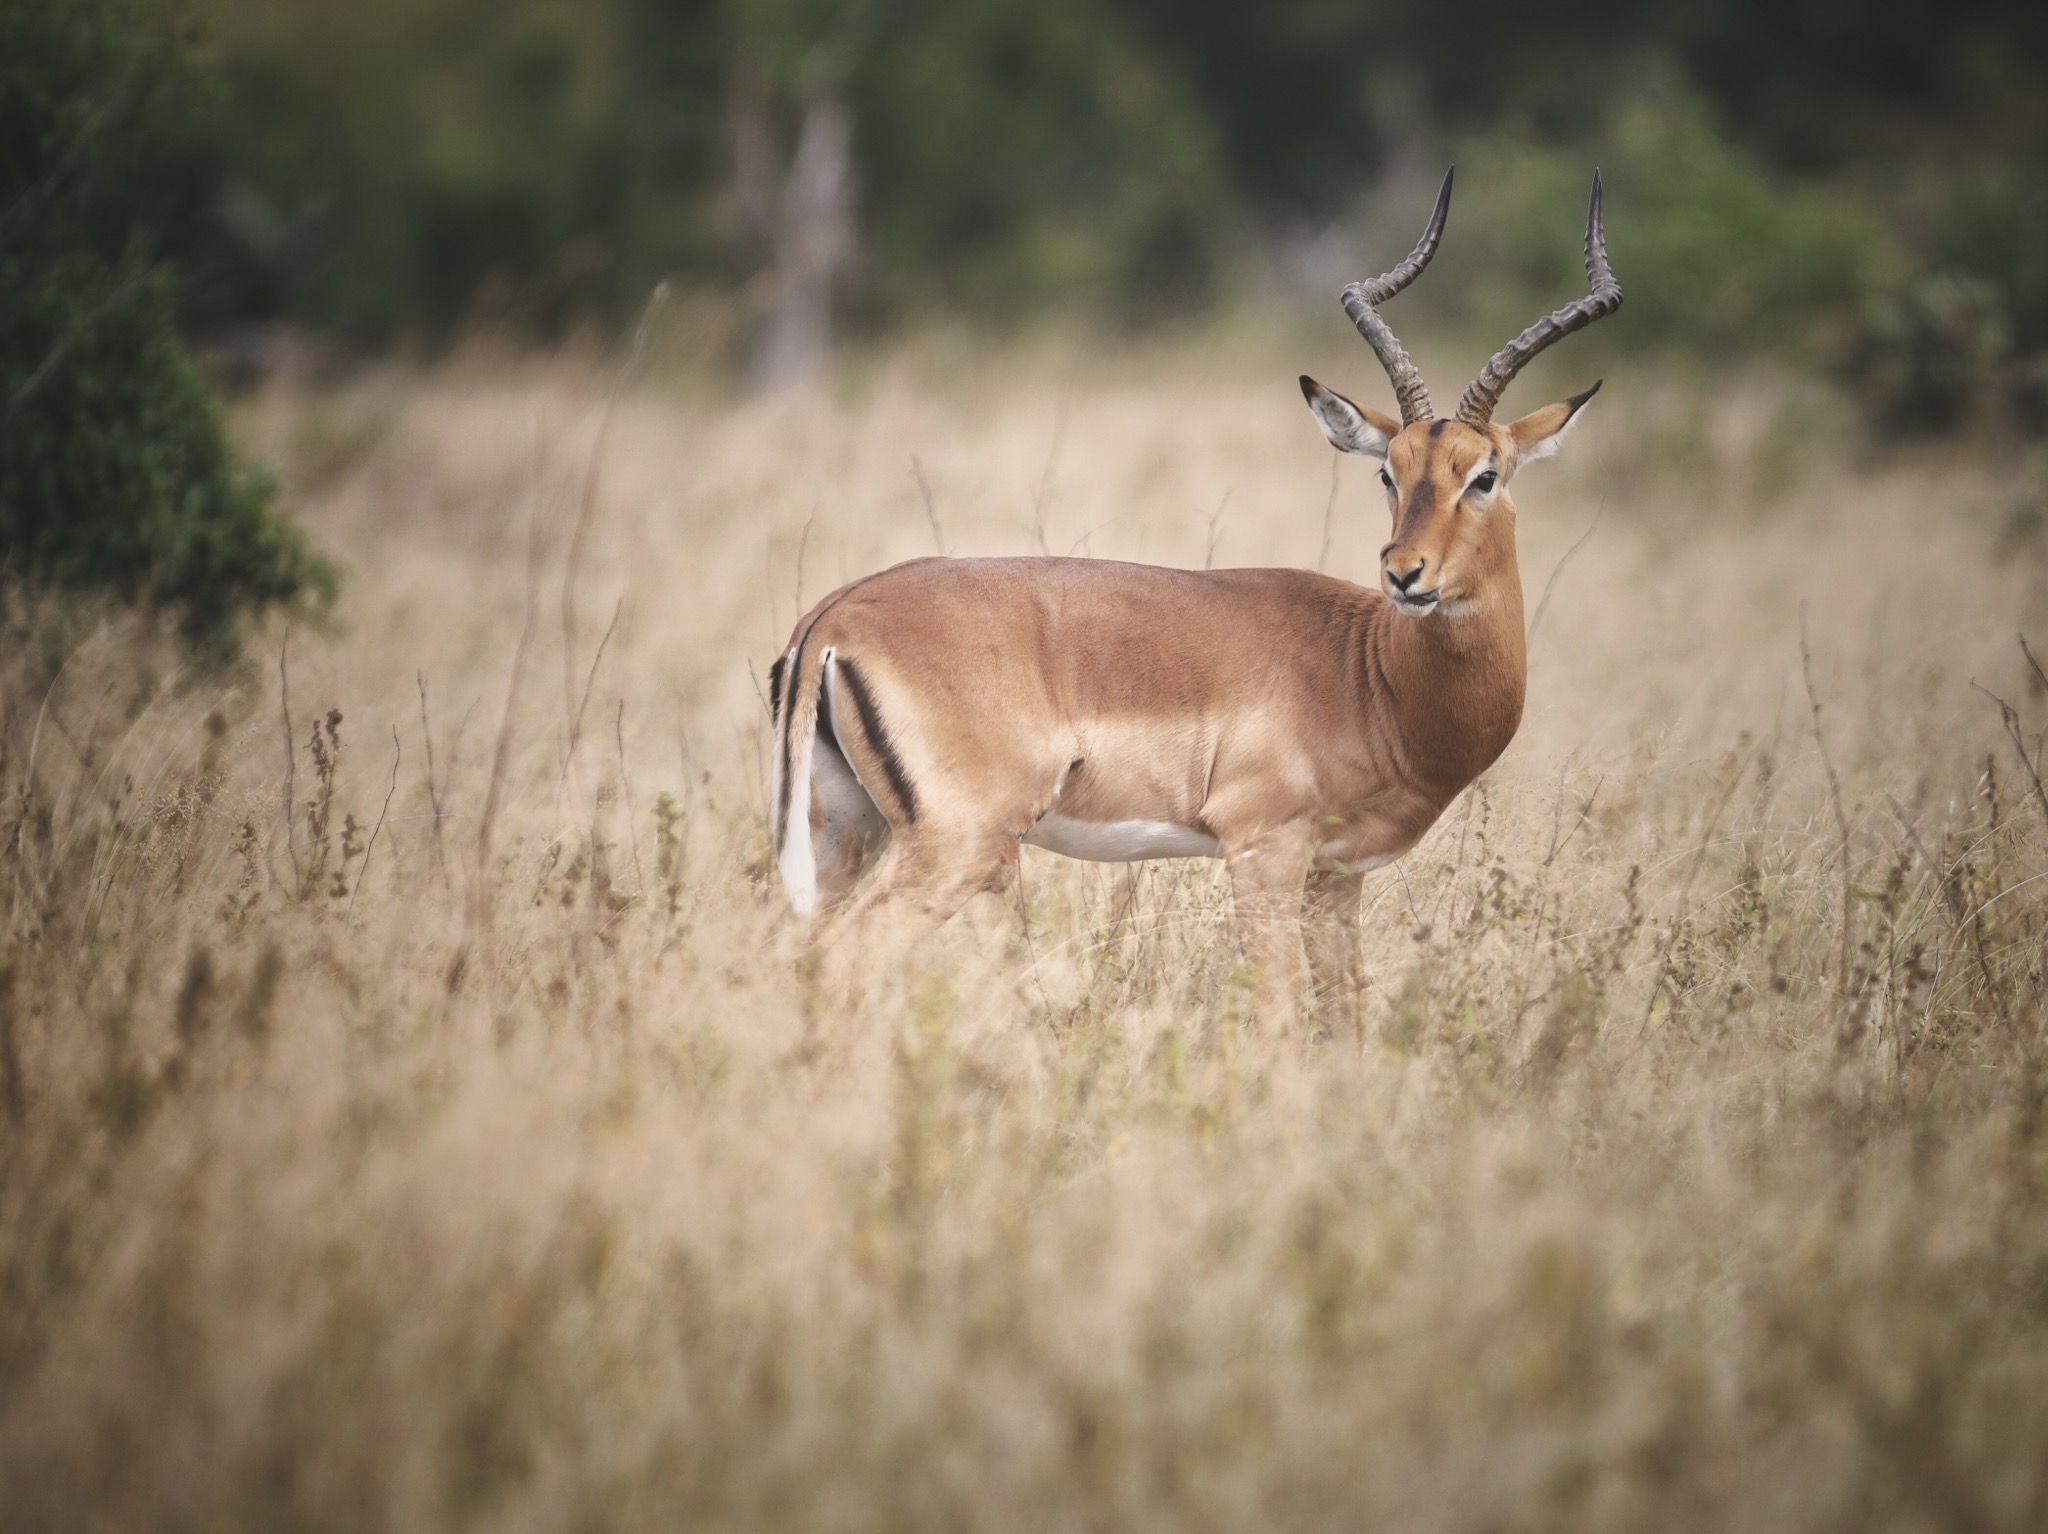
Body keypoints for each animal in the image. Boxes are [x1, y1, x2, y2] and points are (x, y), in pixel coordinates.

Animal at [767, 169, 1621, 1012]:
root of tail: (829, 624)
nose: (1405, 574)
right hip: (957, 847)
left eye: (1485, 475)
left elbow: (1344, 1016)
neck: (1369, 674)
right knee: (846, 958)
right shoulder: (1263, 849)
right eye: (1390, 470)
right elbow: (1277, 1012)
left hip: (847, 834)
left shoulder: (1336, 877)